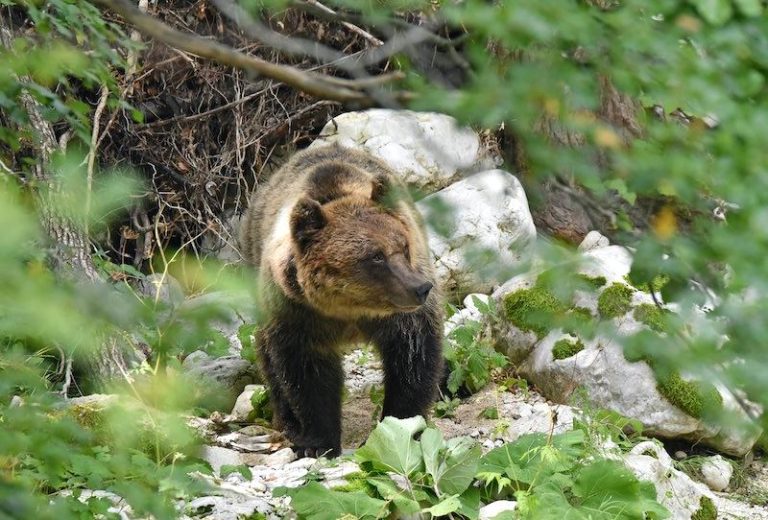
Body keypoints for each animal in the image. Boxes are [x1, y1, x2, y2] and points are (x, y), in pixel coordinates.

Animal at [240, 144, 444, 458]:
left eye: (403, 245)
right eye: (376, 256)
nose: (420, 288)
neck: (351, 307)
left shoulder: (399, 316)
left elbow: (412, 356)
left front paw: (403, 426)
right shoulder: (298, 312)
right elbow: (307, 372)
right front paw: (317, 442)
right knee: (267, 355)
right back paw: (288, 423)